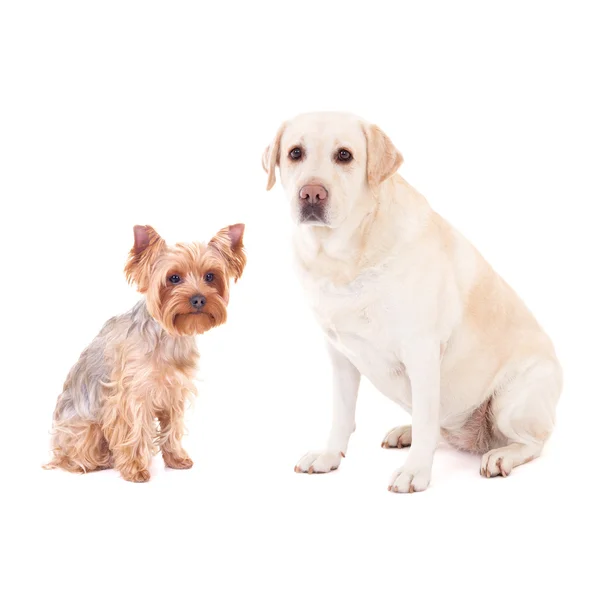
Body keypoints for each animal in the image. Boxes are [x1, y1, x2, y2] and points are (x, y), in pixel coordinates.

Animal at [44, 223, 246, 480]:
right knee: (72, 454)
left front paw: (176, 458)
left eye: (210, 276)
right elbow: (135, 429)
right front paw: (135, 469)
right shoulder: (132, 394)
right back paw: (90, 463)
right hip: (84, 427)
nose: (199, 299)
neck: (169, 335)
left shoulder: (174, 392)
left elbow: (173, 427)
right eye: (173, 278)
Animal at [262, 111, 564, 492]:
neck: (345, 258)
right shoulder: (340, 356)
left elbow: (424, 421)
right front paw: (329, 456)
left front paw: (415, 471)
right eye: (295, 153)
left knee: (532, 442)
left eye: (344, 155)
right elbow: (342, 414)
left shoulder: (421, 351)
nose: (311, 193)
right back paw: (405, 432)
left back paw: (500, 456)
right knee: (438, 428)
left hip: (512, 401)